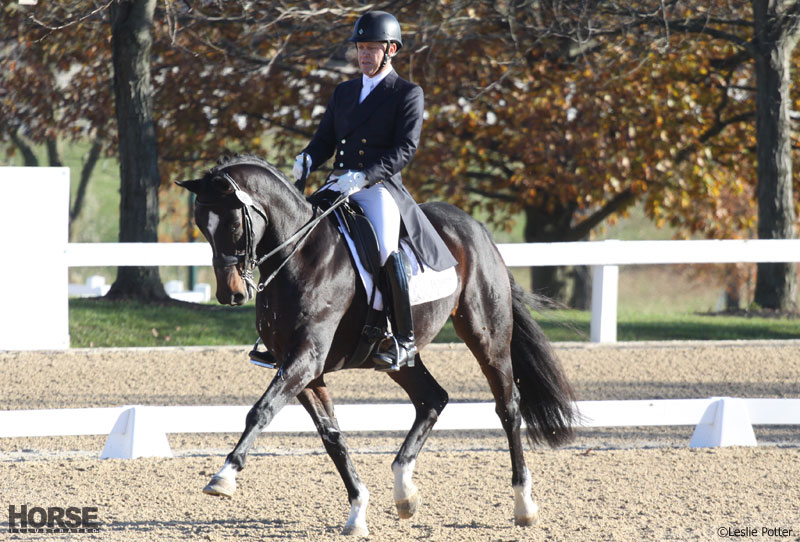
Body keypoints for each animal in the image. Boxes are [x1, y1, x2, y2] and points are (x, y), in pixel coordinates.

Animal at [177, 155, 576, 536]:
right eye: (202, 227)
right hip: (401, 357)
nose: (231, 294)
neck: (301, 256)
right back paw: (405, 493)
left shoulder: (306, 359)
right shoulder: (302, 368)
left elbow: (261, 411)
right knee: (432, 398)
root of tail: (476, 228)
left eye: (233, 225)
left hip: (487, 336)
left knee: (508, 407)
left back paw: (524, 505)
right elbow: (331, 435)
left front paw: (224, 476)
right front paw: (357, 512)